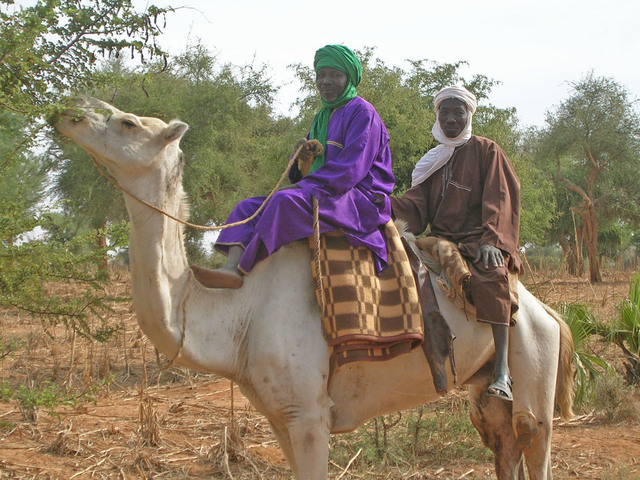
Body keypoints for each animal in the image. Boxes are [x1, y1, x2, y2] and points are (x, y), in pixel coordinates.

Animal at [55, 98, 576, 480]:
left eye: (126, 122)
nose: (68, 111)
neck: (236, 312)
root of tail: (551, 315)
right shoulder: (278, 413)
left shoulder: (309, 413)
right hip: (483, 392)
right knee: (501, 439)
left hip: (535, 362)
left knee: (531, 433)